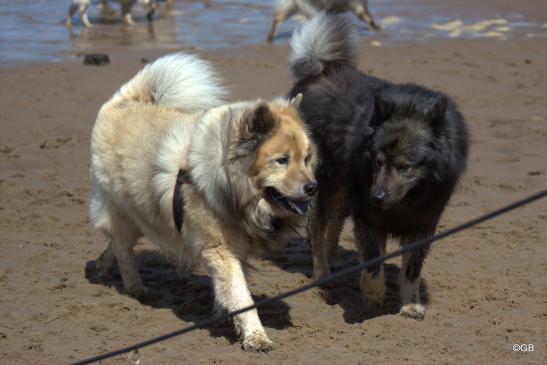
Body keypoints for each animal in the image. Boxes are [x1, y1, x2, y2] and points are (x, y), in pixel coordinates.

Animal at [90, 53, 318, 350]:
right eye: (282, 160)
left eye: (306, 158)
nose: (313, 187)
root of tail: (123, 101)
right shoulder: (221, 249)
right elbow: (242, 296)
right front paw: (256, 336)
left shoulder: (236, 249)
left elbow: (231, 289)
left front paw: (223, 315)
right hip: (127, 211)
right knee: (122, 247)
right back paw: (135, 286)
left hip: (141, 213)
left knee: (116, 243)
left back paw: (104, 266)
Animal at [288, 12, 468, 318]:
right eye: (378, 161)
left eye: (405, 166)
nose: (378, 196)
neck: (409, 199)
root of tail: (319, 71)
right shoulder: (368, 218)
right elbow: (373, 266)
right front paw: (372, 296)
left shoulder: (423, 224)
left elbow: (411, 270)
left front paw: (410, 304)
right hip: (326, 188)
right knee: (317, 231)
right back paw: (322, 273)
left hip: (343, 194)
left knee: (333, 226)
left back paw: (335, 261)